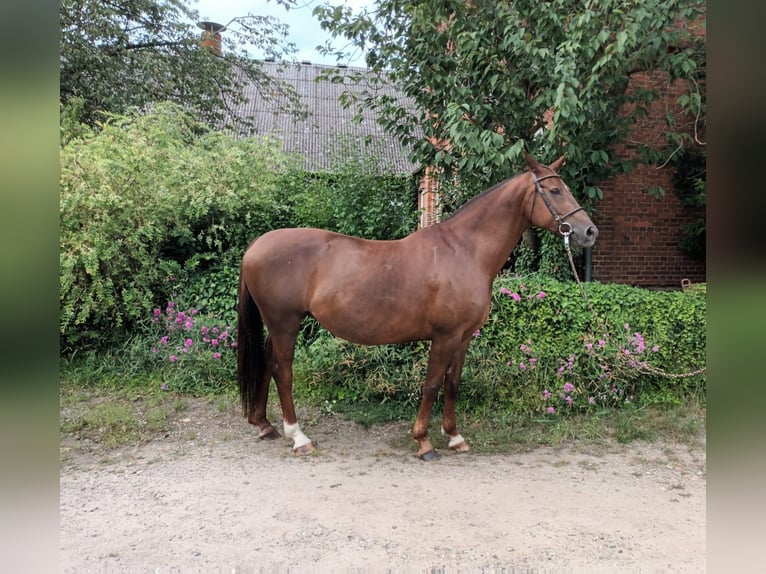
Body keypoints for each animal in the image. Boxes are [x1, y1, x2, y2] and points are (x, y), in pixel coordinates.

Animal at [237, 153, 598, 460]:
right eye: (555, 190)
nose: (589, 231)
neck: (465, 250)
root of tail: (256, 245)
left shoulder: (463, 337)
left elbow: (453, 384)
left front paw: (455, 437)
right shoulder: (445, 336)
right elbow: (432, 384)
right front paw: (424, 442)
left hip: (278, 325)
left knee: (267, 362)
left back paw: (265, 425)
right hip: (285, 323)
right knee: (283, 370)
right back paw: (298, 437)